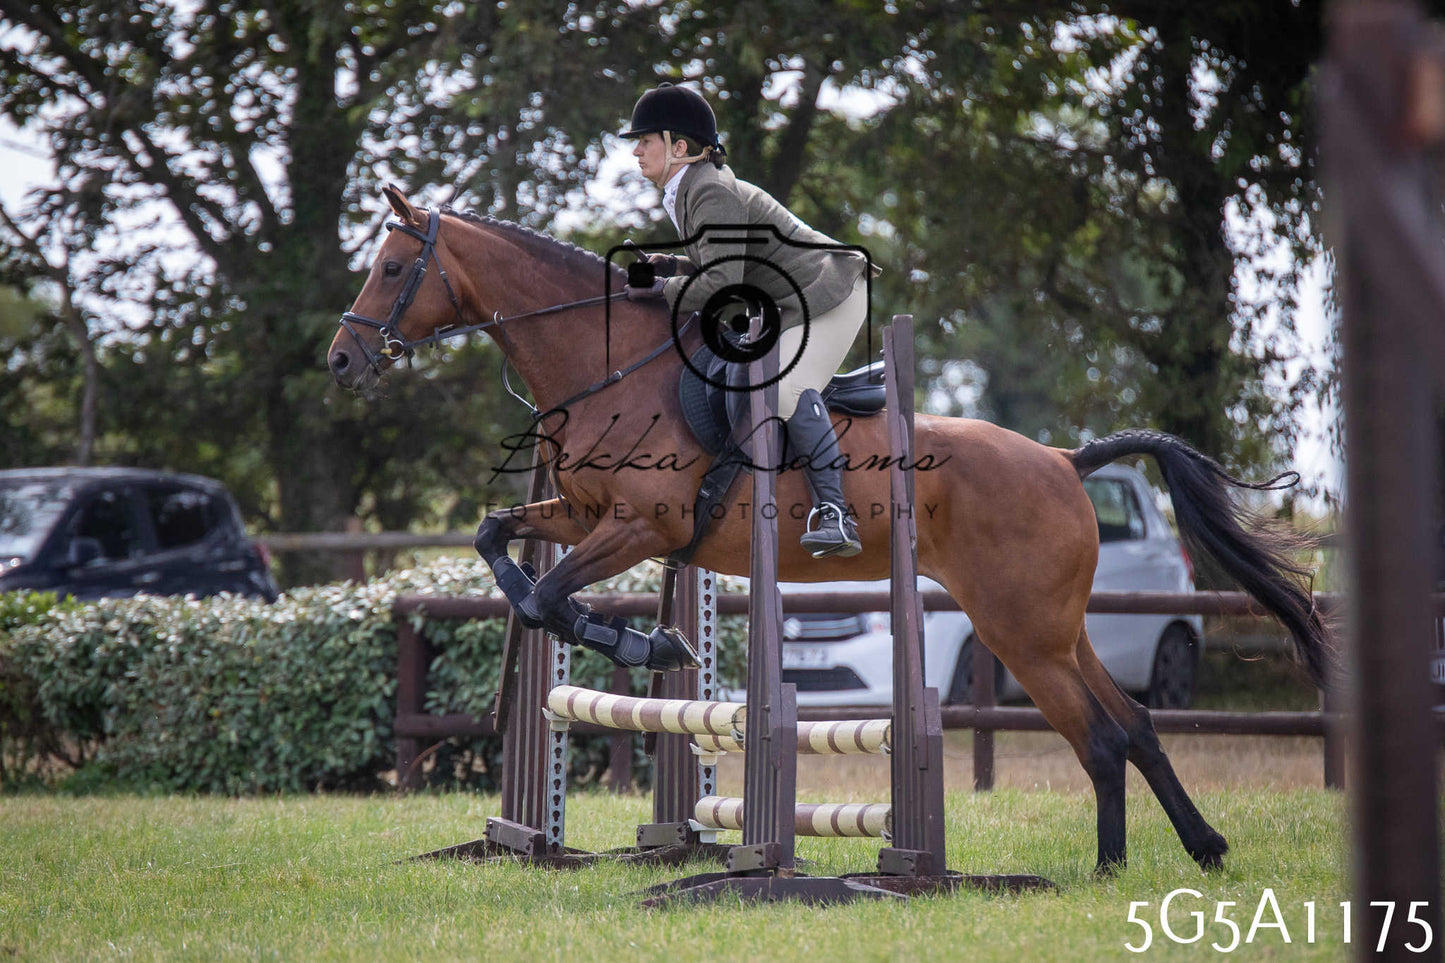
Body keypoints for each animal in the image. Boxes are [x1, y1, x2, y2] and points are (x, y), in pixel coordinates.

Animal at [327, 184, 1331, 874]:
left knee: (1100, 737)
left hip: (1019, 631)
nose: (341, 360)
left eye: (390, 268)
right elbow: (497, 544)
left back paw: (1107, 867)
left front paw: (650, 643)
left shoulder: (639, 526)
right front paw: (652, 644)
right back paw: (1194, 849)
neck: (611, 368)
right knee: (1137, 723)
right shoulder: (577, 513)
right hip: (1053, 626)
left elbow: (544, 596)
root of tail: (1063, 457)